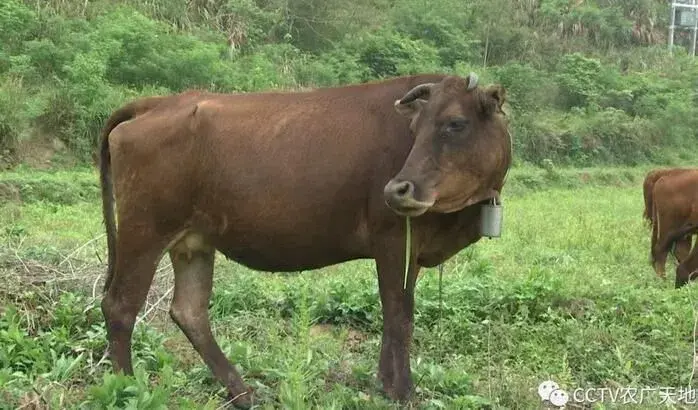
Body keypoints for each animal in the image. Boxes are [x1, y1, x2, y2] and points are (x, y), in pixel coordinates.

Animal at [96, 73, 512, 406]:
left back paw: (243, 393)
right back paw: (128, 385)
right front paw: (402, 391)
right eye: (416, 128)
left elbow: (392, 315)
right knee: (120, 305)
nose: (397, 189)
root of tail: (158, 102)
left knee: (190, 311)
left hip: (193, 240)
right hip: (144, 229)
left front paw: (384, 383)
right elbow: (400, 317)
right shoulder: (394, 241)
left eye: (456, 123)